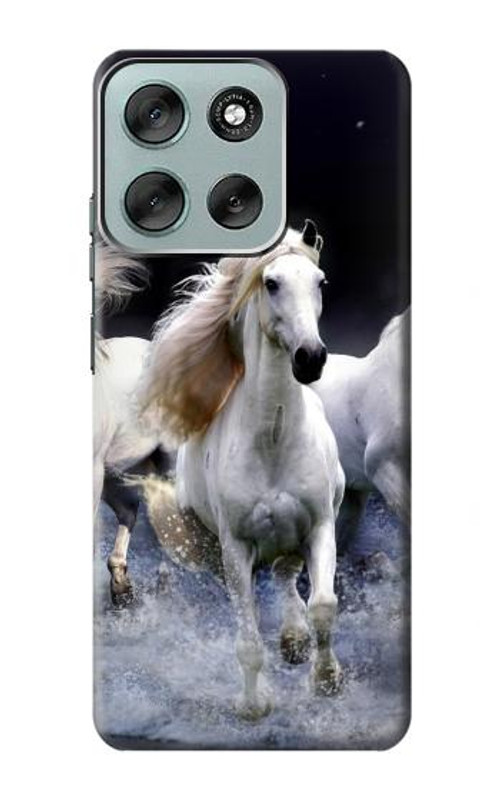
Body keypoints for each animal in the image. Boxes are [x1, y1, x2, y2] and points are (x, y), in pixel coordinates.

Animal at [138, 221, 345, 719]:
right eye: (271, 283)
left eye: (320, 282)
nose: (310, 357)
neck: (273, 440)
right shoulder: (235, 547)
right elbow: (248, 639)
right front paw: (254, 705)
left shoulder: (320, 526)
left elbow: (323, 604)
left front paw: (327, 681)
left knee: (288, 576)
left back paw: (294, 640)